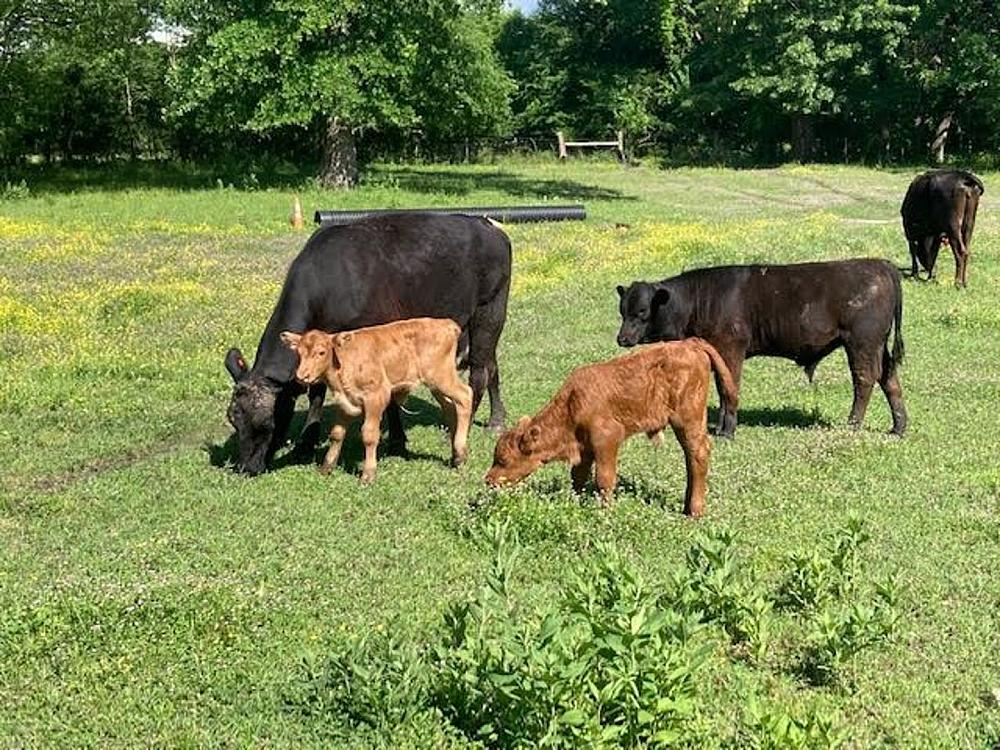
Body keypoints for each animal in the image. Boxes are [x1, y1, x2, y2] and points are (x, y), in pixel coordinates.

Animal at [280, 318, 472, 484]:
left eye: (321, 352)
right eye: (299, 353)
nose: (301, 376)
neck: (344, 363)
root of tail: (446, 323)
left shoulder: (376, 396)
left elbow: (369, 435)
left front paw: (368, 474)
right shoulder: (345, 402)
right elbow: (337, 434)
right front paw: (326, 467)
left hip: (441, 376)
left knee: (466, 396)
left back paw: (461, 451)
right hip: (436, 384)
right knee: (450, 406)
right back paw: (455, 454)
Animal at [485, 339, 737, 517]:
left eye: (504, 460)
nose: (488, 480)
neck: (572, 404)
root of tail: (690, 343)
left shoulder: (607, 439)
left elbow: (604, 479)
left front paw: (604, 510)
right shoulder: (584, 448)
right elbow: (578, 476)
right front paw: (576, 501)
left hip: (688, 420)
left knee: (698, 453)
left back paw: (694, 511)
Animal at [616, 259, 907, 439]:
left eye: (642, 311)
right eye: (622, 310)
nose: (622, 338)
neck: (702, 298)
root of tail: (880, 264)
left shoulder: (731, 349)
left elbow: (729, 388)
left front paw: (727, 431)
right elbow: (722, 388)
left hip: (861, 343)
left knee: (865, 379)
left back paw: (853, 424)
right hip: (878, 345)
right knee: (889, 379)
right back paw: (898, 427)